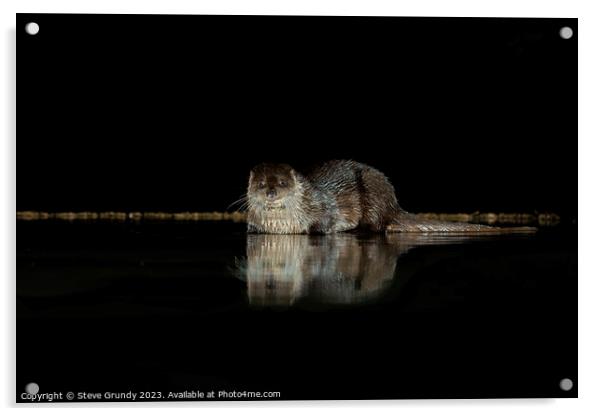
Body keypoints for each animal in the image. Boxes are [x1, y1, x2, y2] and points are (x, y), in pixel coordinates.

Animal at [244, 159, 528, 234]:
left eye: (282, 182)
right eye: (261, 183)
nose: (271, 192)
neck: (281, 225)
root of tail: (394, 203)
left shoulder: (322, 206)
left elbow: (325, 222)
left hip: (373, 192)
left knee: (378, 224)